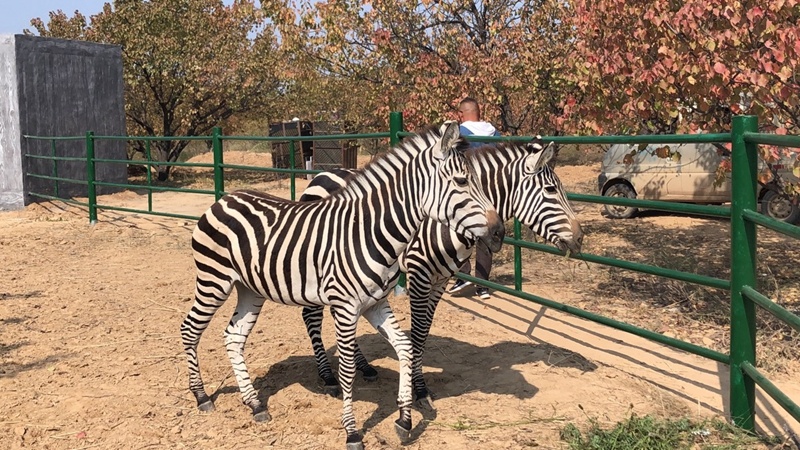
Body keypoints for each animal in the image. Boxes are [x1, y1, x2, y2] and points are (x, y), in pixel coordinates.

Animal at [182, 121, 506, 448]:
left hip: (249, 289)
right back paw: (201, 396)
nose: (499, 233)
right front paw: (352, 431)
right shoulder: (346, 307)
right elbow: (348, 368)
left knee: (233, 337)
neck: (371, 232)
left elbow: (405, 347)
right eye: (462, 181)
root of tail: (224, 199)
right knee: (190, 329)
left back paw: (255, 404)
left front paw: (404, 419)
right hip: (213, 279)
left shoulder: (376, 303)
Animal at [296, 136, 584, 408]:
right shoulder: (419, 273)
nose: (581, 239)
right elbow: (416, 331)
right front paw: (418, 389)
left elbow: (424, 331)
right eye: (550, 190)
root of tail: (322, 174)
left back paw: (364, 366)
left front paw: (419, 385)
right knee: (311, 315)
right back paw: (328, 377)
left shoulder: (441, 280)